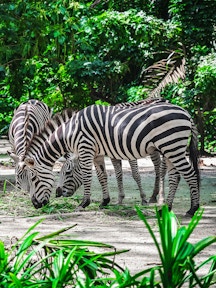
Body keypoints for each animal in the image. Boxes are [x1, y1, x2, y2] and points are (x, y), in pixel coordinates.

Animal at [21, 101, 199, 216]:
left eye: (34, 179)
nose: (35, 205)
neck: (70, 131)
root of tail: (186, 113)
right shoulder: (97, 154)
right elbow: (102, 176)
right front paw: (105, 201)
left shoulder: (86, 148)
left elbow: (88, 176)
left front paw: (83, 203)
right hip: (170, 149)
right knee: (175, 176)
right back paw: (166, 208)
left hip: (172, 145)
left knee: (189, 174)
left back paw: (193, 209)